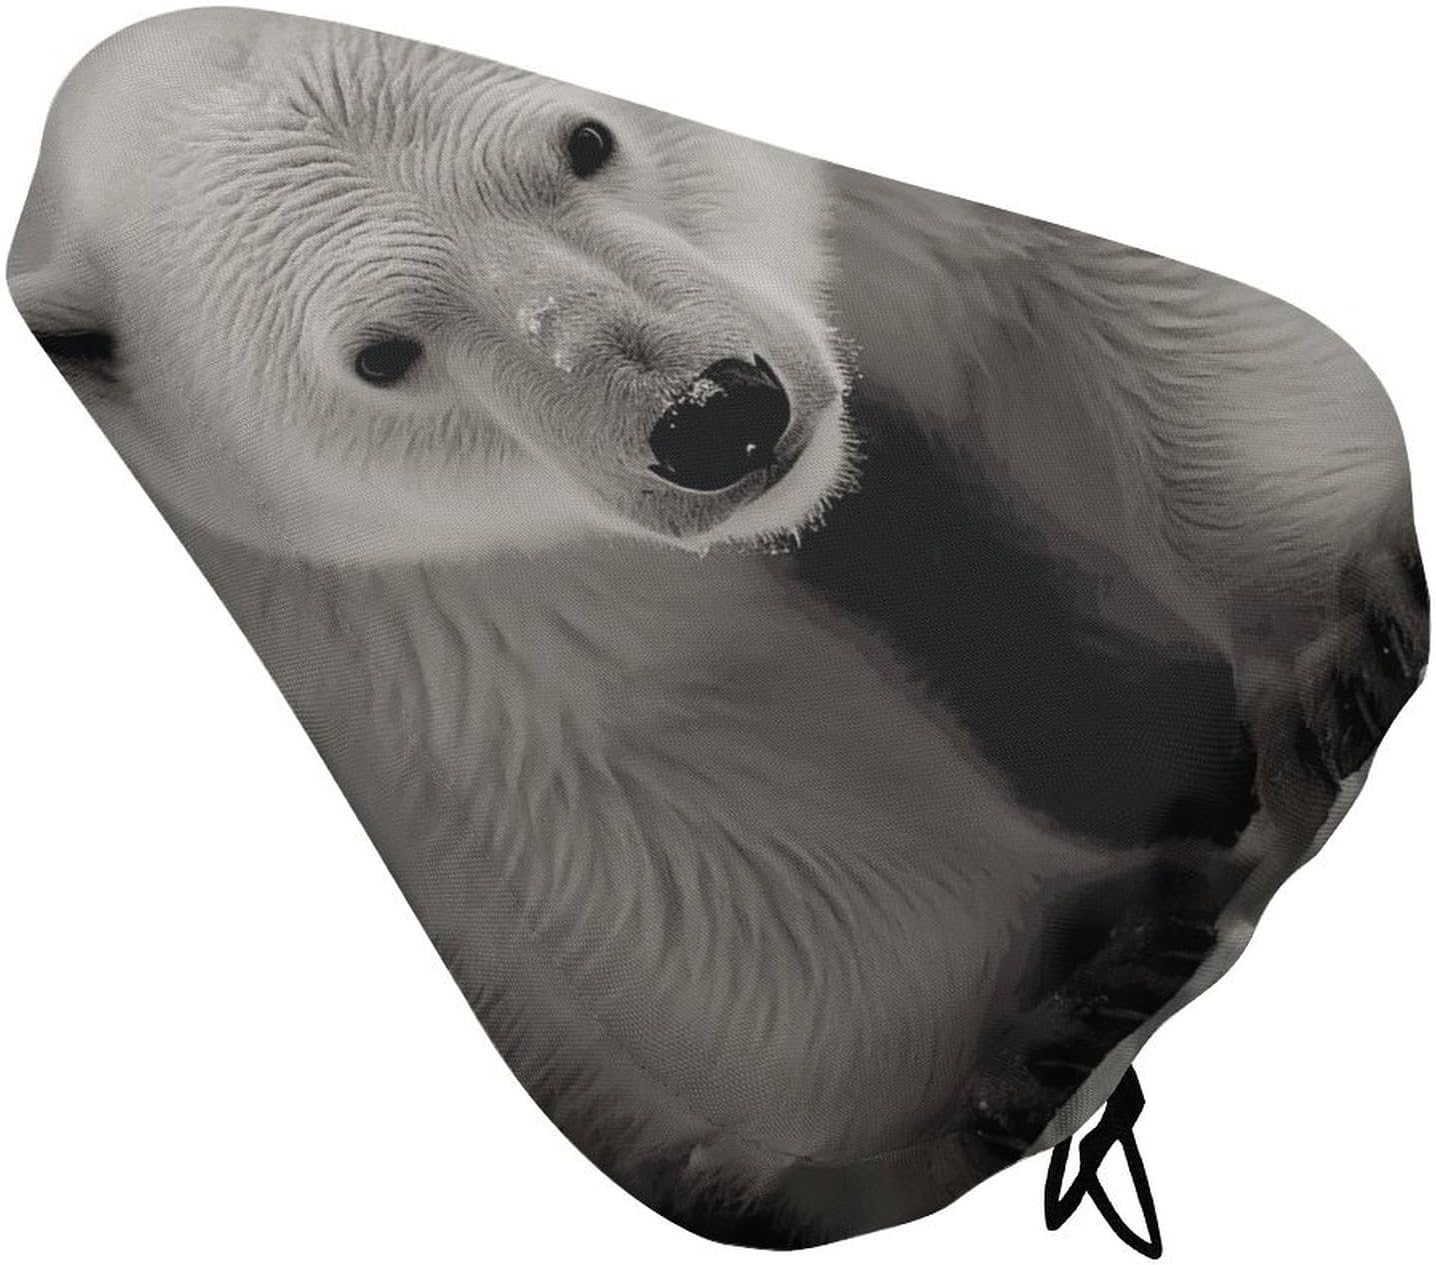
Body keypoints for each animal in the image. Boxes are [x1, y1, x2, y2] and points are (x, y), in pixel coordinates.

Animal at [9, 7, 1427, 1249]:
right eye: (381, 353)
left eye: (585, 140)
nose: (714, 413)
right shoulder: (403, 591)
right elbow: (669, 764)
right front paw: (1081, 989)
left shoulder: (850, 230)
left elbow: (1061, 296)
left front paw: (1339, 663)